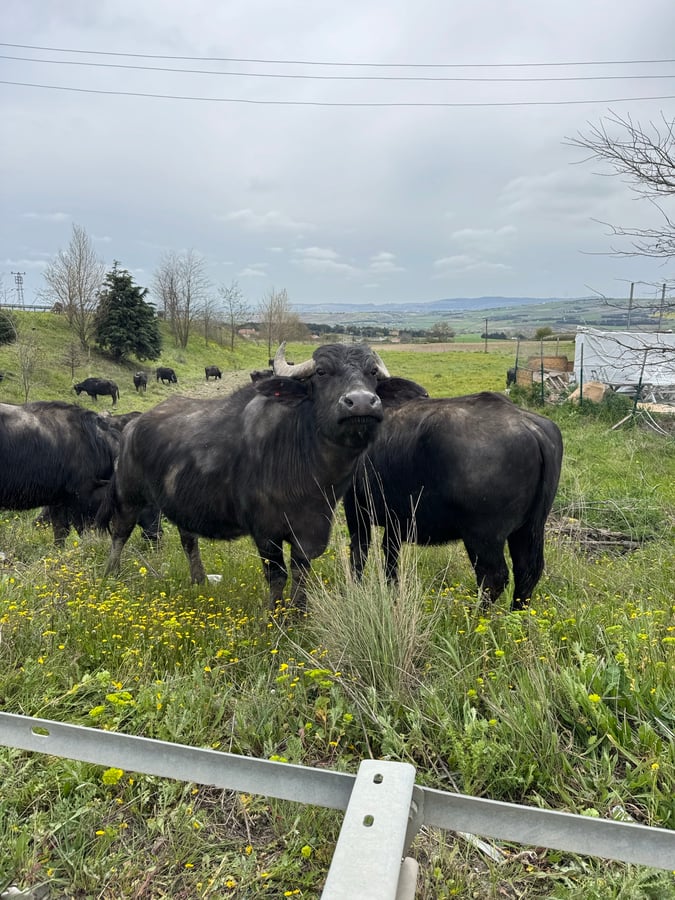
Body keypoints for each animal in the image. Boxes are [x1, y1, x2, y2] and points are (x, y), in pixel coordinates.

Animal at [96, 342, 419, 609]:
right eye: (322, 372)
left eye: (372, 373)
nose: (362, 402)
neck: (310, 469)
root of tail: (132, 426)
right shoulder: (266, 533)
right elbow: (277, 576)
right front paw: (274, 617)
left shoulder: (313, 528)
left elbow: (301, 573)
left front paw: (299, 613)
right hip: (128, 494)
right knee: (120, 531)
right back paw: (111, 573)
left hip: (181, 501)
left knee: (188, 539)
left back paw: (199, 579)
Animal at [344, 390, 564, 610]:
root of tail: (531, 428)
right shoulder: (395, 520)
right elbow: (390, 554)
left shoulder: (355, 507)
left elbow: (359, 552)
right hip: (530, 528)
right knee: (526, 573)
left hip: (483, 536)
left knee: (493, 578)